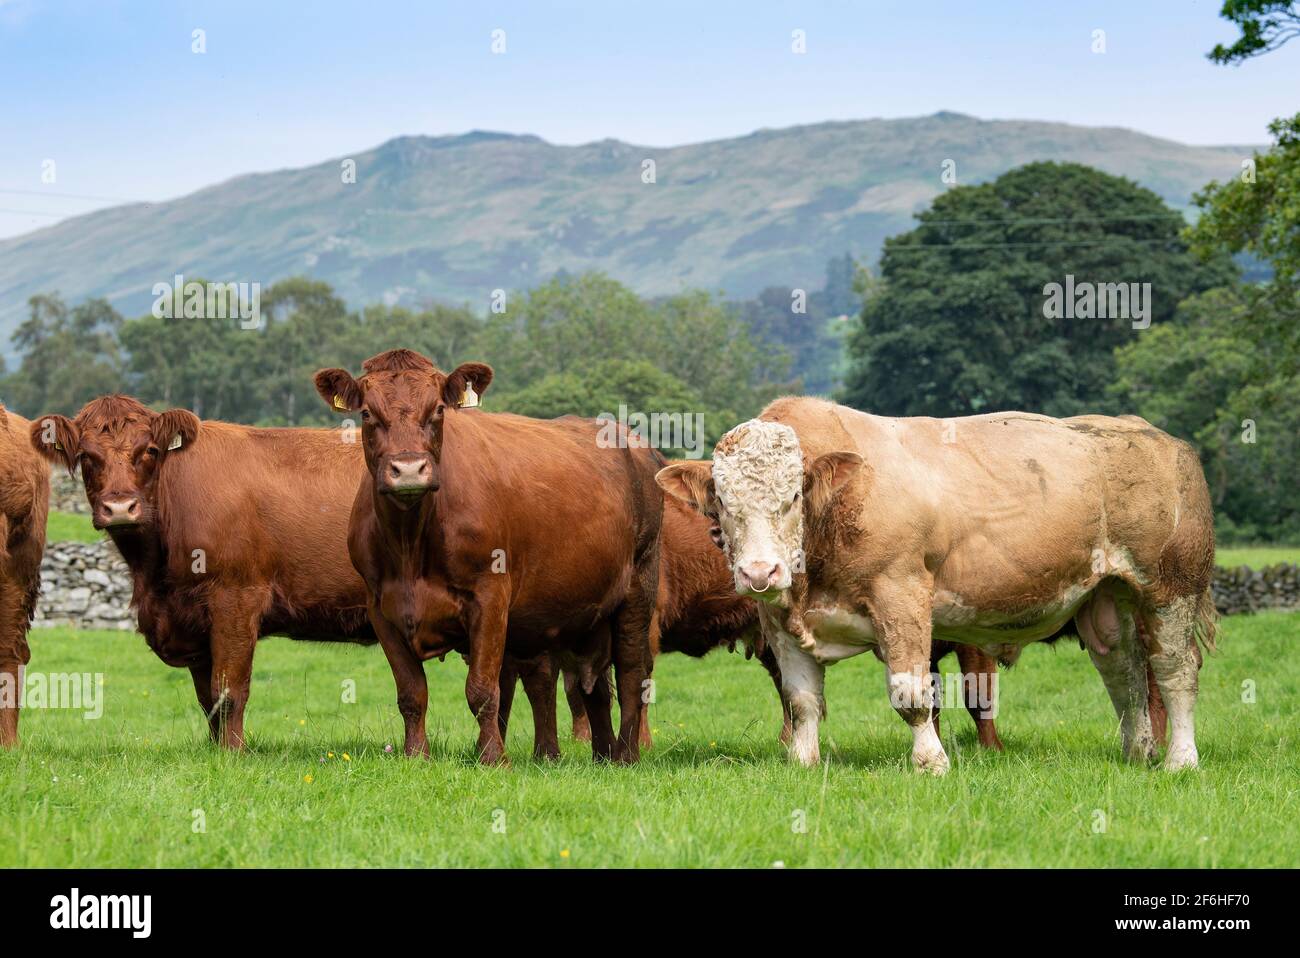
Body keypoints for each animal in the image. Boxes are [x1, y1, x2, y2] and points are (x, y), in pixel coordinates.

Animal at [27, 392, 377, 743]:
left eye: (150, 450)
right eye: (86, 455)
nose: (120, 508)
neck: (154, 575)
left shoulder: (236, 599)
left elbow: (228, 694)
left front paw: (233, 752)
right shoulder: (192, 620)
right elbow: (206, 699)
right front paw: (214, 749)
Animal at [312, 348, 660, 764]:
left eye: (439, 409)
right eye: (367, 413)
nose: (409, 470)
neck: (411, 542)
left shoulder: (490, 597)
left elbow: (482, 689)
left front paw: (493, 757)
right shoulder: (381, 607)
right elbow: (411, 692)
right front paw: (416, 755)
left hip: (638, 587)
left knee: (631, 675)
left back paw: (626, 754)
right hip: (586, 609)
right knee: (593, 686)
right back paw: (602, 754)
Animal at [660, 395, 1216, 769]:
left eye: (793, 496)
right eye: (722, 502)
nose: (759, 572)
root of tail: (1155, 435)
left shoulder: (900, 595)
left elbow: (910, 694)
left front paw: (931, 762)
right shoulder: (778, 619)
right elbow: (802, 701)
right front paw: (803, 763)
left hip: (1172, 586)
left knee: (1175, 670)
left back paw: (1180, 759)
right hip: (1105, 595)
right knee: (1124, 670)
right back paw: (1137, 751)